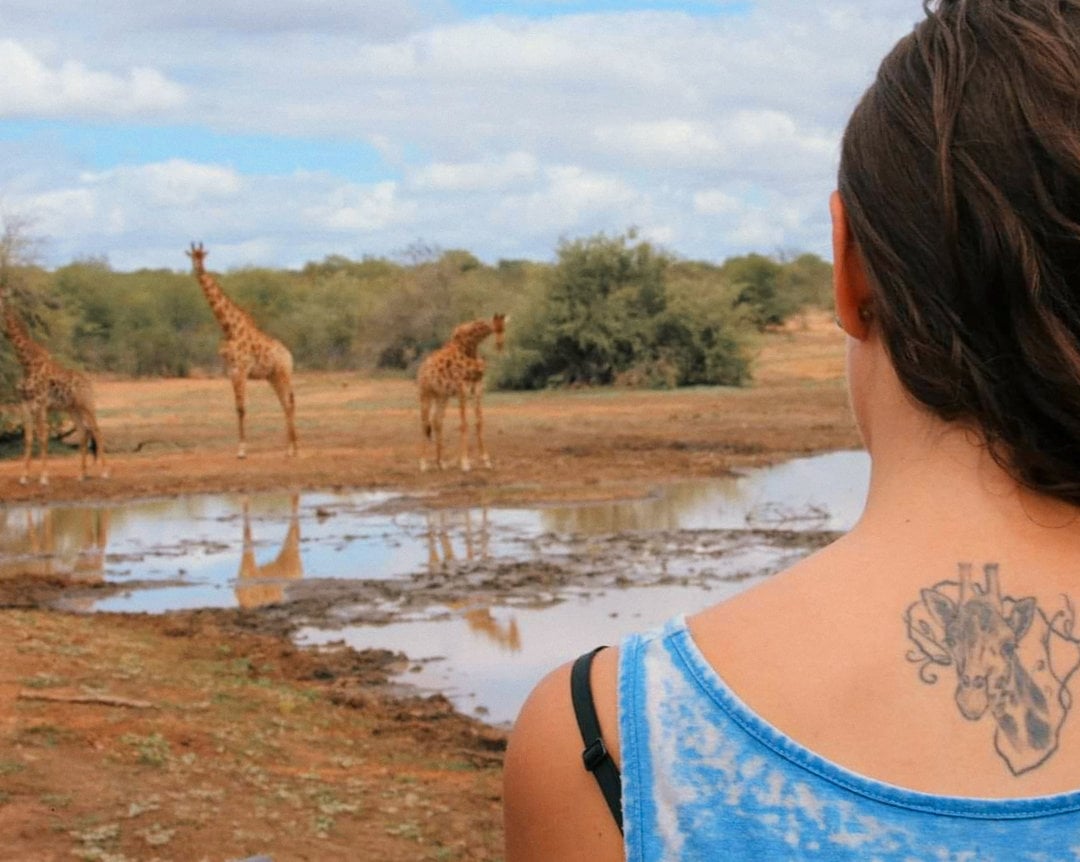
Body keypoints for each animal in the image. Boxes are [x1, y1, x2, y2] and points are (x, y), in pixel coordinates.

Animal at [0, 283, 108, 486]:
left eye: (2, 297)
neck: (26, 363)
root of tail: (89, 382)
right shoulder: (25, 404)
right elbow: (28, 438)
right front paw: (24, 476)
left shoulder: (41, 404)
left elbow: (43, 437)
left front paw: (43, 477)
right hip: (72, 409)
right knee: (83, 432)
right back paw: (81, 474)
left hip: (87, 404)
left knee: (97, 431)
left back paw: (105, 472)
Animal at [184, 243, 295, 458]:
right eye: (192, 257)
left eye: (203, 256)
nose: (198, 268)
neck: (230, 329)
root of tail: (289, 355)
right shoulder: (231, 371)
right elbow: (238, 408)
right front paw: (241, 449)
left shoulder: (242, 369)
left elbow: (243, 408)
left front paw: (242, 451)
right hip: (273, 377)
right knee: (285, 403)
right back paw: (293, 448)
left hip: (283, 373)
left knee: (289, 403)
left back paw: (291, 449)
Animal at [419, 313, 507, 473]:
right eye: (495, 329)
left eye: (504, 328)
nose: (500, 345)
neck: (470, 348)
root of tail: (422, 368)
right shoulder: (462, 390)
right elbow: (464, 424)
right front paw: (465, 463)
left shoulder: (477, 389)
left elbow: (479, 422)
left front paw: (486, 461)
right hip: (425, 394)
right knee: (425, 423)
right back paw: (423, 464)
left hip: (442, 396)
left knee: (437, 421)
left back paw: (441, 463)